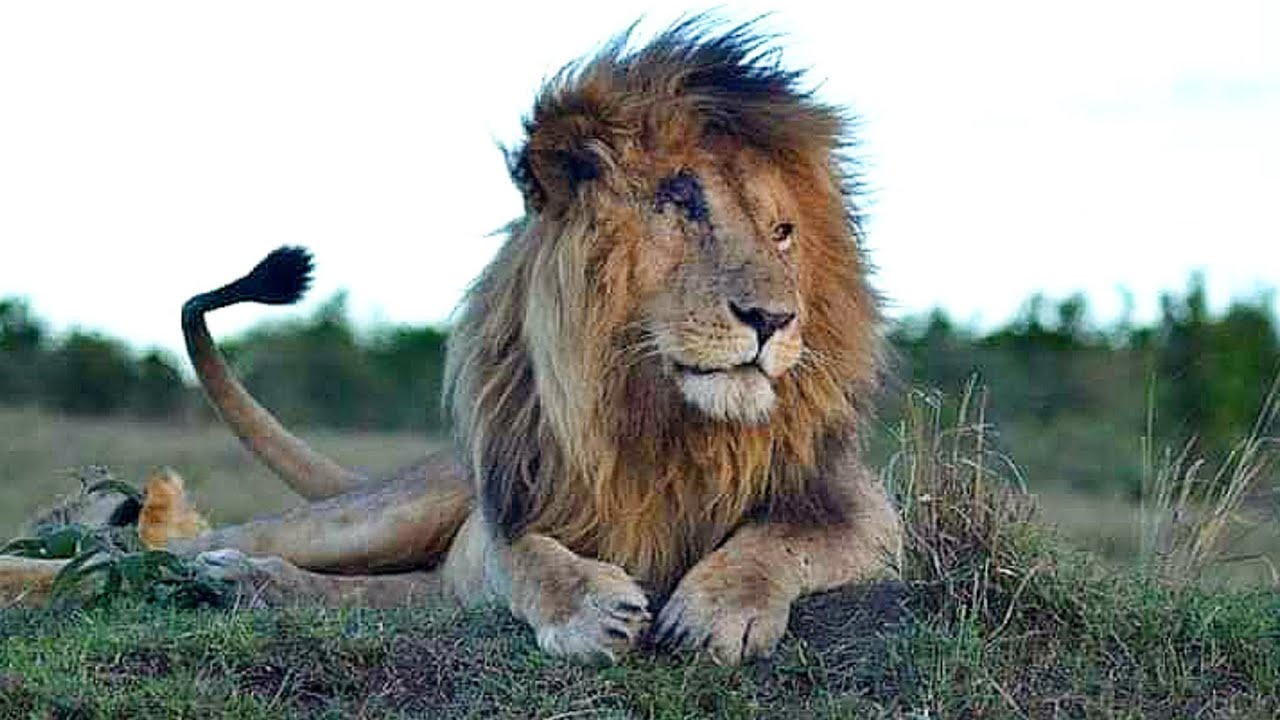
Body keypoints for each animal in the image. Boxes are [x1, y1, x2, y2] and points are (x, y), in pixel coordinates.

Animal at [0, 19, 901, 665]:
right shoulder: (505, 514)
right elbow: (527, 556)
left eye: (784, 232)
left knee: (347, 593)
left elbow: (782, 542)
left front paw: (720, 611)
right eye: (682, 206)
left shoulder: (869, 520)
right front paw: (589, 609)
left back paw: (240, 588)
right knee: (141, 551)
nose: (774, 320)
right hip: (380, 515)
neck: (666, 424)